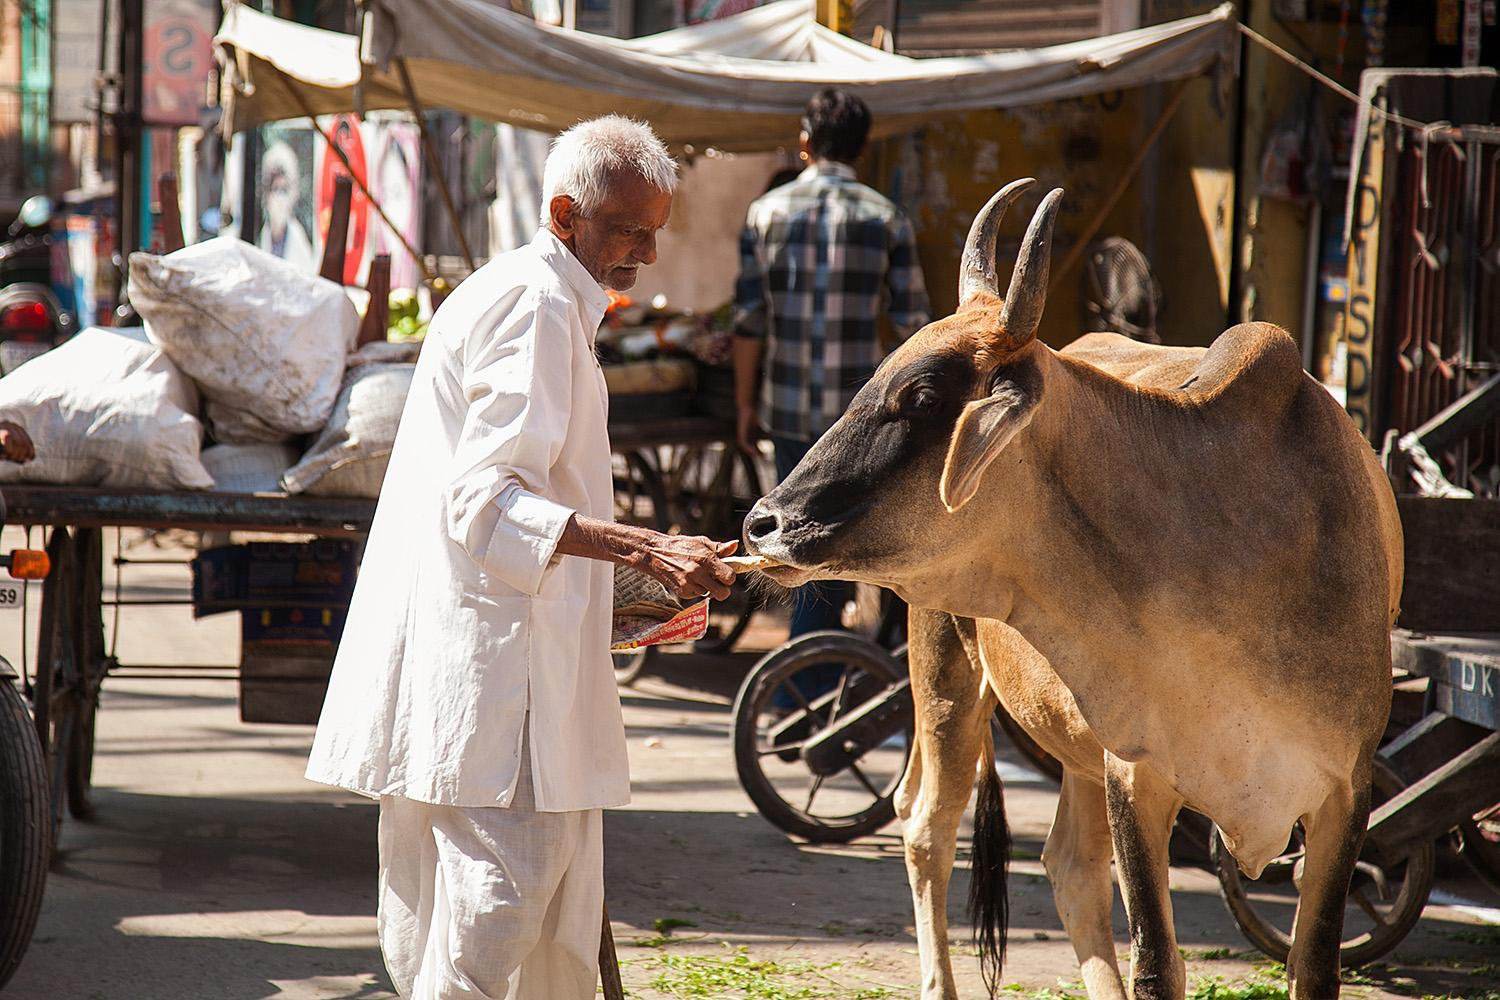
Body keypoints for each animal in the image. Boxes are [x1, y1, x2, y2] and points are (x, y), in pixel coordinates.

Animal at [744, 179, 1398, 1000]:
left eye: (921, 396)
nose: (762, 524)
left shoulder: (1346, 794)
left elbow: (1314, 967)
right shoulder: (1138, 776)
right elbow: (1157, 964)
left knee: (1066, 865)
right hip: (945, 676)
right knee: (927, 825)